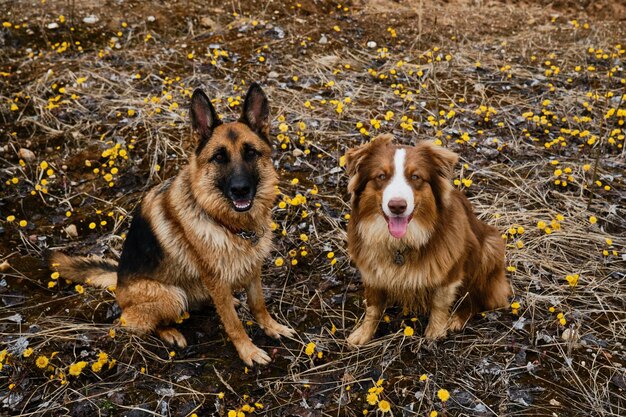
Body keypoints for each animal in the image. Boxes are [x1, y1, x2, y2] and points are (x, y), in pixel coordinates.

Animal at [50, 81, 294, 364]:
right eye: (219, 157)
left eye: (251, 153)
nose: (240, 190)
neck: (226, 223)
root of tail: (118, 283)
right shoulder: (216, 278)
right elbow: (234, 324)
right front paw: (248, 350)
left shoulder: (253, 268)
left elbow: (258, 304)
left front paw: (271, 327)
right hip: (172, 296)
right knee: (132, 321)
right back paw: (170, 332)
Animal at [344, 135, 510, 342]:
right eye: (381, 176)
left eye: (416, 177)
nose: (397, 206)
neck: (401, 244)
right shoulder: (372, 272)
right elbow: (373, 306)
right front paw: (364, 333)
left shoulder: (450, 271)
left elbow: (440, 302)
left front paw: (436, 332)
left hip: (490, 248)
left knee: (477, 298)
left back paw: (457, 318)